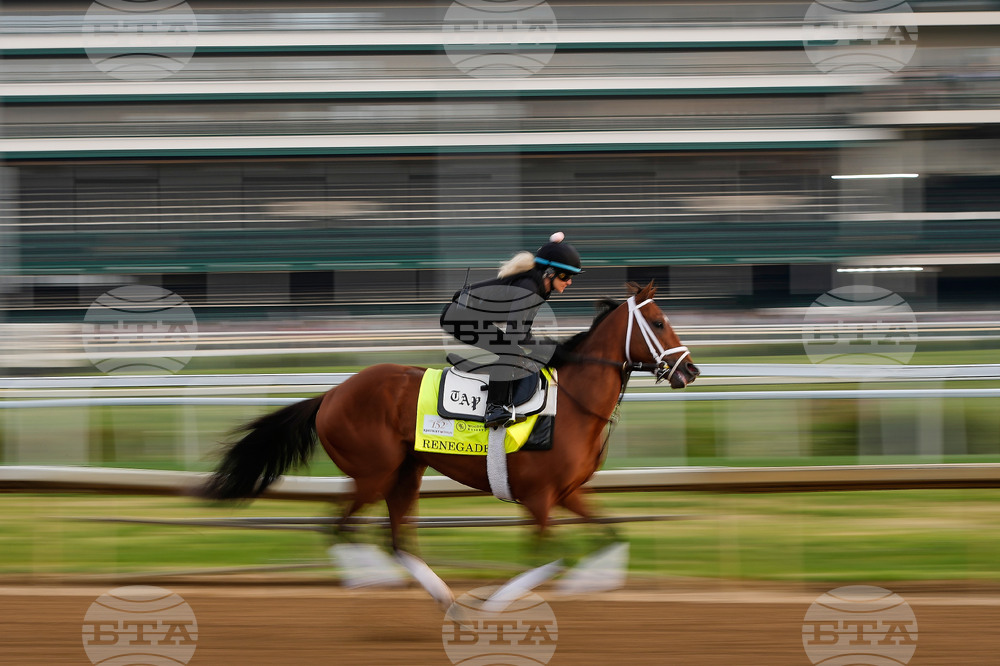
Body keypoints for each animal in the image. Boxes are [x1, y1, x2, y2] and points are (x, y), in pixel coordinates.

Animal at [199, 280, 699, 608]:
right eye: (659, 322)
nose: (690, 371)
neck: (574, 404)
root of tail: (333, 393)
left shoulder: (569, 492)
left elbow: (611, 535)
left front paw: (590, 585)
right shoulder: (539, 499)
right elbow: (546, 557)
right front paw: (500, 604)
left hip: (406, 472)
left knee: (394, 539)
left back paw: (440, 596)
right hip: (373, 472)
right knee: (341, 529)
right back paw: (372, 584)